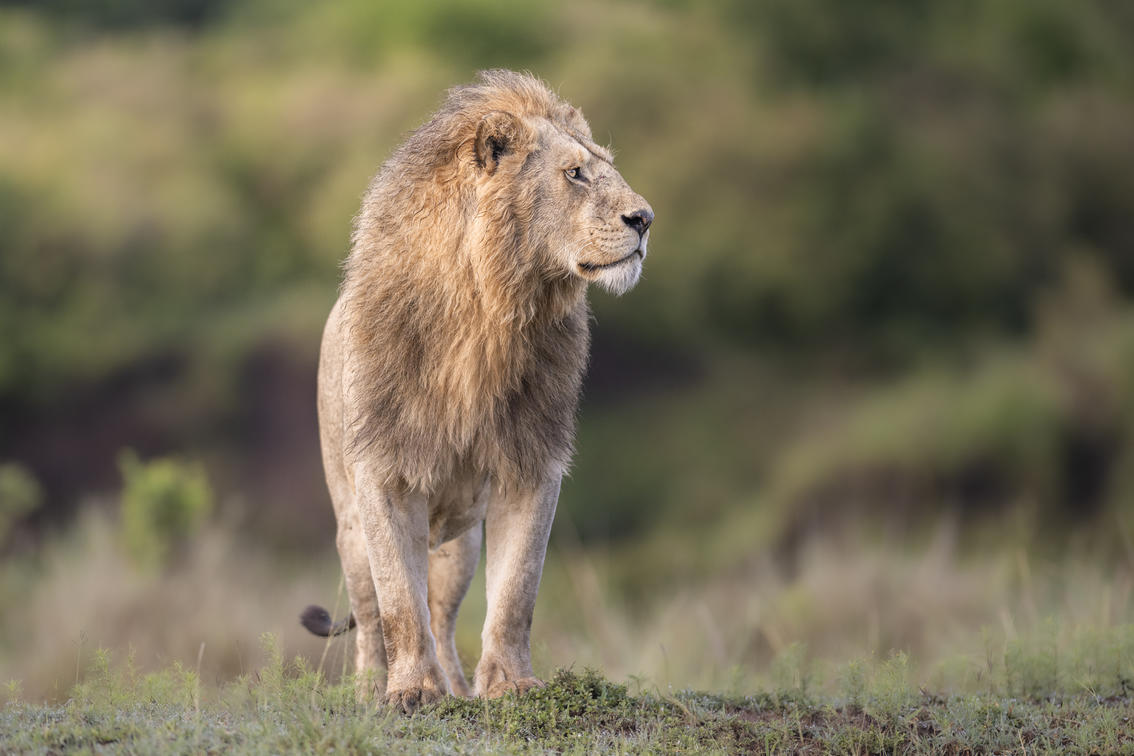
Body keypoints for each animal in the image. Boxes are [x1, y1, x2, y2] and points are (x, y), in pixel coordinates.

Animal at [301, 69, 653, 714]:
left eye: (604, 166)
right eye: (575, 173)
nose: (645, 219)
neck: (490, 309)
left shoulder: (532, 464)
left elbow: (516, 594)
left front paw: (510, 687)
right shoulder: (382, 472)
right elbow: (398, 604)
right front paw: (409, 693)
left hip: (458, 546)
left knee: (442, 618)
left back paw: (458, 688)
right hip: (350, 527)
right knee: (371, 619)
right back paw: (369, 692)